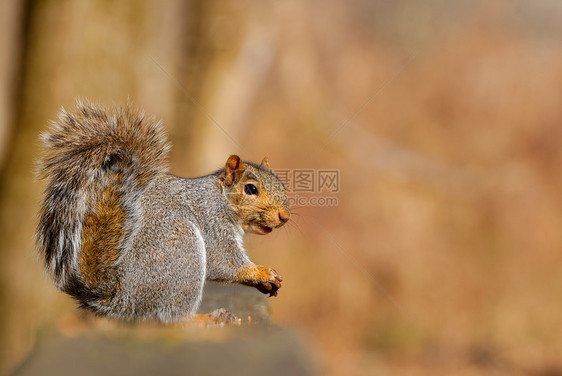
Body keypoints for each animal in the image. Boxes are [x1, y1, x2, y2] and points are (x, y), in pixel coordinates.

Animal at [35, 100, 290, 324]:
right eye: (251, 189)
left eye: (281, 184)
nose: (284, 217)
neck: (220, 199)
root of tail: (120, 303)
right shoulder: (211, 222)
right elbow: (223, 262)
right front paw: (261, 273)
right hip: (181, 248)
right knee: (171, 318)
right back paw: (206, 319)